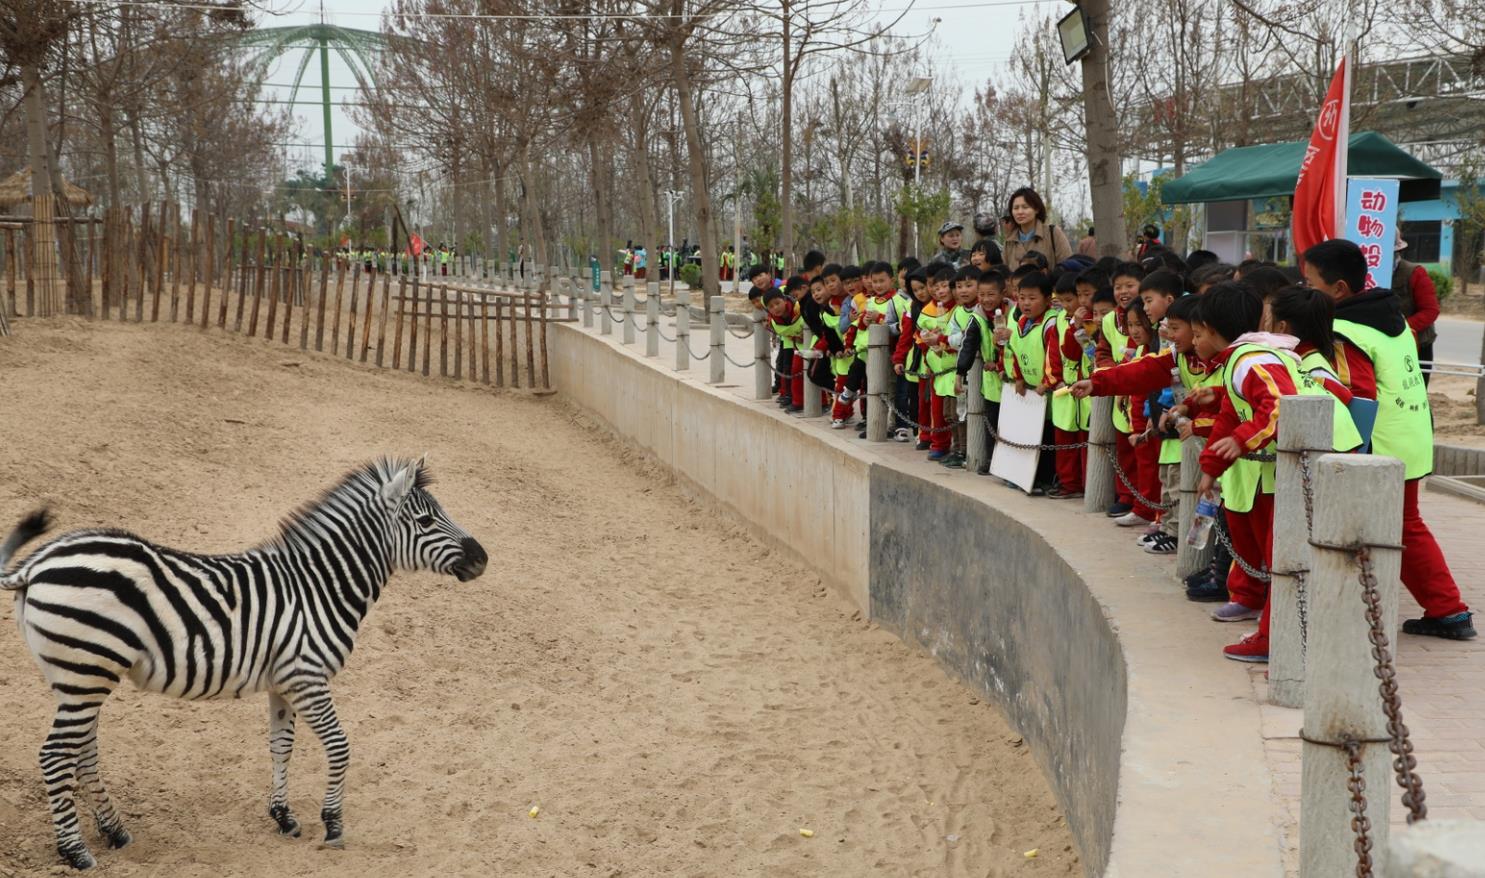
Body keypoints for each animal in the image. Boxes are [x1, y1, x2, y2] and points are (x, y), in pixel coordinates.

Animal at [0, 457, 487, 867]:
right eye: (425, 521)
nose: (482, 558)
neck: (320, 588)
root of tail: (37, 563)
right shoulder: (308, 677)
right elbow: (339, 745)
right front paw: (332, 824)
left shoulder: (284, 681)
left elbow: (281, 745)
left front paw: (284, 817)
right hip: (86, 671)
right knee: (54, 756)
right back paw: (75, 851)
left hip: (81, 676)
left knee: (82, 751)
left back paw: (115, 832)